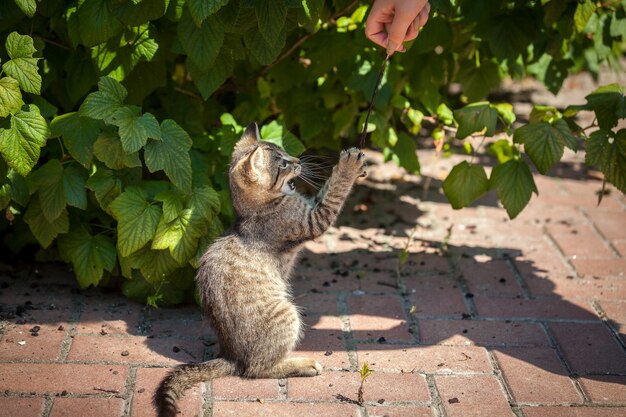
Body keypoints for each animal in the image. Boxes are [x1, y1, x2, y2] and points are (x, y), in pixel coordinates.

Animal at [153, 121, 364, 416]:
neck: (255, 210)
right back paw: (303, 364)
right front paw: (348, 166)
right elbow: (333, 191)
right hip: (286, 315)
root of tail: (231, 355)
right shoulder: (313, 219)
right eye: (283, 163)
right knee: (256, 369)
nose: (298, 161)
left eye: (287, 153)